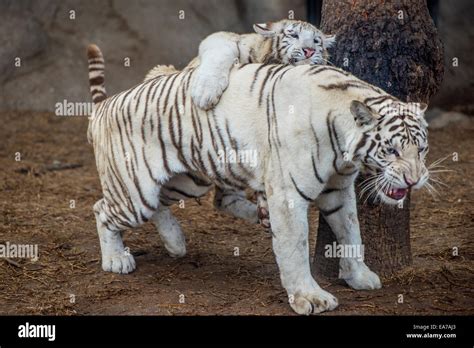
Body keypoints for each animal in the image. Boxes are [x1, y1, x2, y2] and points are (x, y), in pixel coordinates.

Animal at [86, 44, 430, 316]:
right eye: (391, 150)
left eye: (422, 149)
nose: (414, 180)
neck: (345, 149)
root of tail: (103, 107)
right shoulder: (289, 195)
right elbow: (295, 248)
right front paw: (310, 298)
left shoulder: (339, 189)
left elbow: (352, 234)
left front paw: (359, 276)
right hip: (135, 192)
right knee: (102, 210)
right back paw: (117, 260)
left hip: (188, 179)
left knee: (185, 202)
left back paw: (177, 241)